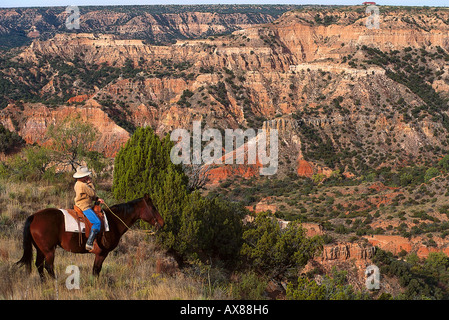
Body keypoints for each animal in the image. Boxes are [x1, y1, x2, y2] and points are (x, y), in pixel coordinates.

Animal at [18, 194, 164, 278]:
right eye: (153, 208)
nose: (162, 223)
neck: (113, 221)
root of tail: (34, 216)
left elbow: (95, 271)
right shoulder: (101, 253)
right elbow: (96, 271)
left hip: (40, 249)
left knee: (39, 265)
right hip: (49, 250)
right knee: (48, 267)